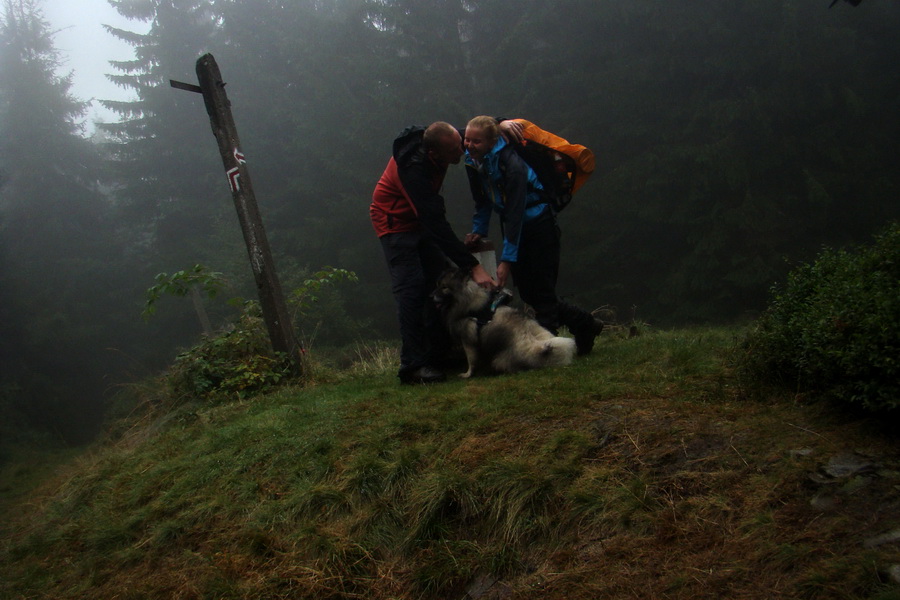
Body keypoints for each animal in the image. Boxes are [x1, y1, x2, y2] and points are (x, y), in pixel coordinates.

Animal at [430, 270, 576, 378]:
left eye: (444, 287)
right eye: (437, 285)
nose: (430, 296)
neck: (469, 303)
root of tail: (536, 346)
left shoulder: (468, 339)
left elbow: (471, 360)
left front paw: (467, 374)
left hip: (499, 360)